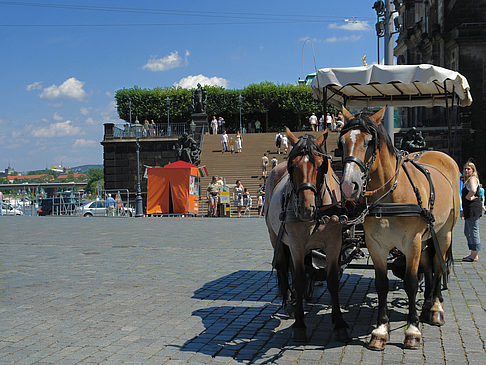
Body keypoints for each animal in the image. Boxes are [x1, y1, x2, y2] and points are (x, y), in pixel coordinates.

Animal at [264, 127, 348, 342]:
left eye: (320, 165)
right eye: (293, 166)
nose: (305, 208)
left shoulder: (334, 244)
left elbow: (332, 280)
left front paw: (339, 323)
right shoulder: (296, 245)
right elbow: (300, 279)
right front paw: (300, 325)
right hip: (276, 237)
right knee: (284, 267)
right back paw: (290, 302)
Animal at [338, 106, 460, 348]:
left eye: (369, 142)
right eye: (342, 142)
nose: (348, 186)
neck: (391, 195)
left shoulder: (412, 243)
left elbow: (411, 282)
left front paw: (412, 330)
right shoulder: (377, 245)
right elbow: (382, 284)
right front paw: (380, 331)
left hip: (444, 233)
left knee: (439, 266)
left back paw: (436, 308)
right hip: (426, 239)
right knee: (429, 267)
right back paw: (427, 305)